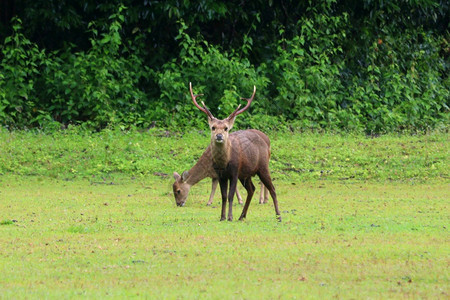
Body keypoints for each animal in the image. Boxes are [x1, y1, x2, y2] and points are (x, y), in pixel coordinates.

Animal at [188, 82, 280, 220]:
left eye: (226, 128)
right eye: (213, 127)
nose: (219, 136)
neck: (224, 163)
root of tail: (266, 140)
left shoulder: (235, 171)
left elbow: (230, 195)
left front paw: (230, 217)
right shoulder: (221, 175)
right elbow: (224, 196)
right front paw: (222, 217)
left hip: (263, 166)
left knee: (272, 188)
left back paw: (278, 215)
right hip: (246, 174)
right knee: (251, 189)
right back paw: (242, 216)